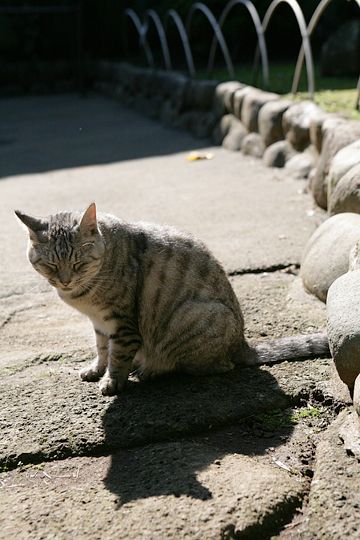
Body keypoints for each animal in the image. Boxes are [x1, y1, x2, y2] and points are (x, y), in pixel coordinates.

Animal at [15, 202, 330, 396]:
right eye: (51, 265)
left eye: (78, 263)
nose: (65, 280)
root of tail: (241, 342)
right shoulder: (100, 324)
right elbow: (102, 349)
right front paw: (96, 369)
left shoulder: (122, 323)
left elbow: (117, 356)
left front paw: (112, 381)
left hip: (194, 317)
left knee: (214, 366)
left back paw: (151, 370)